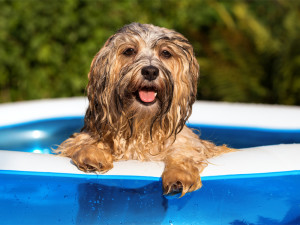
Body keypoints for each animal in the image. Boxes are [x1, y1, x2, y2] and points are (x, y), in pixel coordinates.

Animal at [55, 22, 230, 196]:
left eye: (166, 53)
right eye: (129, 50)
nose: (150, 71)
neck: (141, 125)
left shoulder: (187, 142)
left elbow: (183, 153)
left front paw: (179, 175)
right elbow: (82, 143)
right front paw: (92, 155)